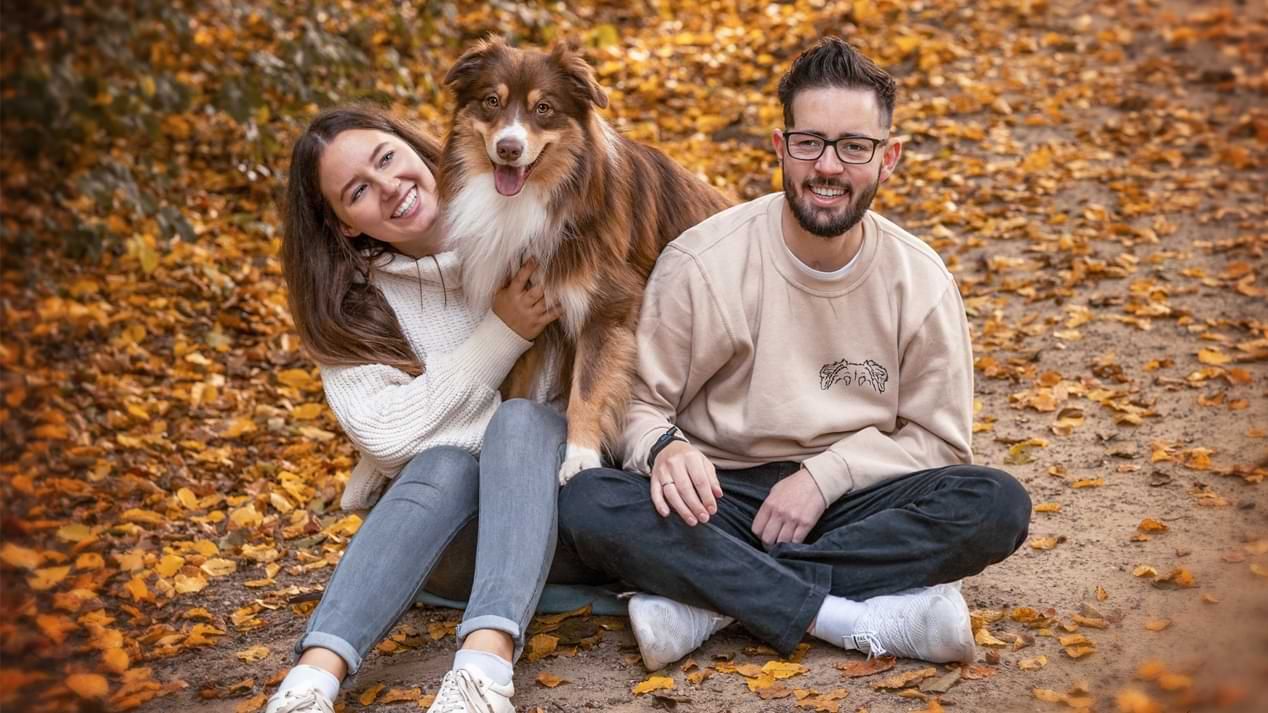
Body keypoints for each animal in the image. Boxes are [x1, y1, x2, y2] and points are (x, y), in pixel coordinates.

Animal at [438, 38, 730, 482]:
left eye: (544, 108)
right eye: (491, 101)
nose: (509, 148)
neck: (551, 195)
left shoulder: (608, 309)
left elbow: (588, 389)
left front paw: (580, 457)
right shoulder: (528, 317)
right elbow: (514, 394)